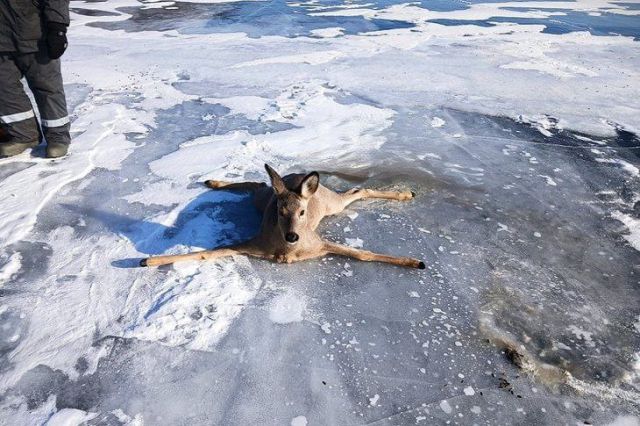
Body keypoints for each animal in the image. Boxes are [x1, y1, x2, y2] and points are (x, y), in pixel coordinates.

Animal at [139, 164, 425, 270]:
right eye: (279, 211)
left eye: (302, 212)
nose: (292, 235)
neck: (286, 252)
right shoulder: (252, 243)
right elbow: (206, 253)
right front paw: (149, 260)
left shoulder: (319, 243)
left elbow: (362, 254)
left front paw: (414, 262)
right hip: (264, 198)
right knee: (257, 183)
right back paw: (213, 182)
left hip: (330, 204)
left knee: (358, 190)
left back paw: (406, 194)